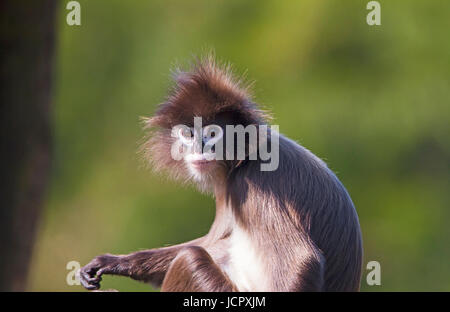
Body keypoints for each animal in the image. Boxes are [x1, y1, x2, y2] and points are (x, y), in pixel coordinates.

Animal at [80, 56, 362, 292]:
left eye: (213, 133)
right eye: (188, 134)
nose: (198, 148)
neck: (245, 157)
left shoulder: (252, 182)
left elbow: (302, 260)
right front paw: (114, 262)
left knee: (190, 259)